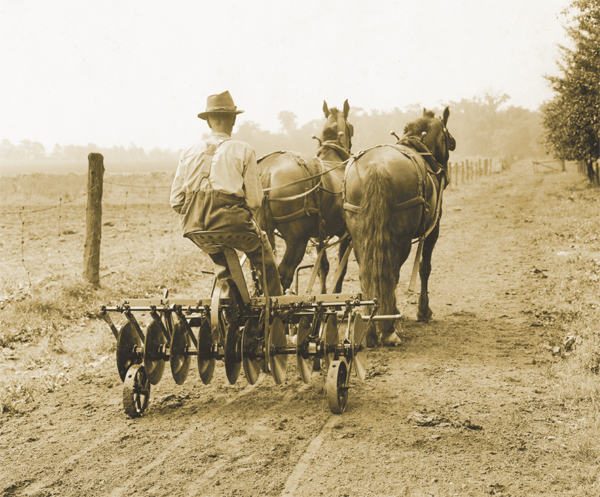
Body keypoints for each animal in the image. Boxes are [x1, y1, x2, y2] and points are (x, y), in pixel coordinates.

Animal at [256, 101, 352, 294]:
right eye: (351, 128)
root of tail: (268, 172)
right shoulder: (346, 232)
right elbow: (341, 269)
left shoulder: (318, 237)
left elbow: (323, 266)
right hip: (297, 241)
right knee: (283, 274)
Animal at [342, 105, 454, 344]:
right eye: (447, 134)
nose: (454, 142)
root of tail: (377, 167)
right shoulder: (433, 230)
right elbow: (424, 268)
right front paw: (423, 311)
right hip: (399, 239)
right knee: (390, 273)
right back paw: (387, 328)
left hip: (360, 236)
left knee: (367, 272)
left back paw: (371, 328)